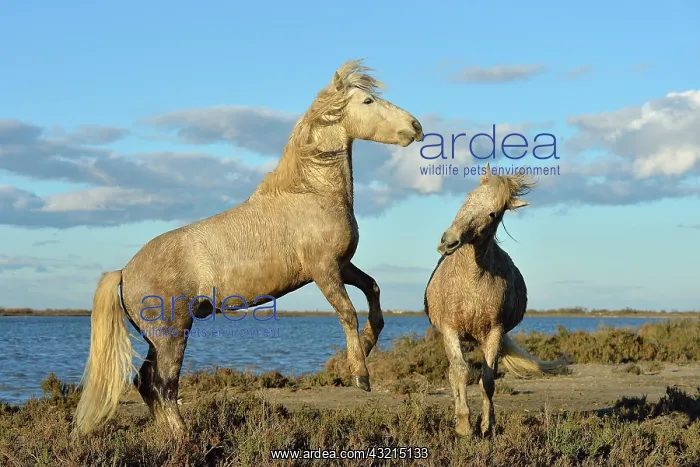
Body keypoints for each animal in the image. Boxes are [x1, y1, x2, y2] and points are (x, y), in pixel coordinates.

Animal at [72, 59, 424, 438]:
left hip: (158, 338)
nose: (415, 128)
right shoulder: (324, 269)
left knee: (145, 382)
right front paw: (361, 376)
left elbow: (373, 290)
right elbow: (347, 312)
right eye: (368, 102)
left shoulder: (343, 265)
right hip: (171, 335)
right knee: (163, 384)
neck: (311, 191)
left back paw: (171, 435)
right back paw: (184, 437)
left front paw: (370, 343)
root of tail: (124, 271)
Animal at [423, 164, 568, 438]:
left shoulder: (495, 332)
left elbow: (488, 380)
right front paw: (464, 427)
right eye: (468, 197)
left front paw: (486, 426)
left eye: (493, 214)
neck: (471, 279)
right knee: (454, 372)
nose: (448, 241)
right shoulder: (450, 329)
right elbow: (460, 372)